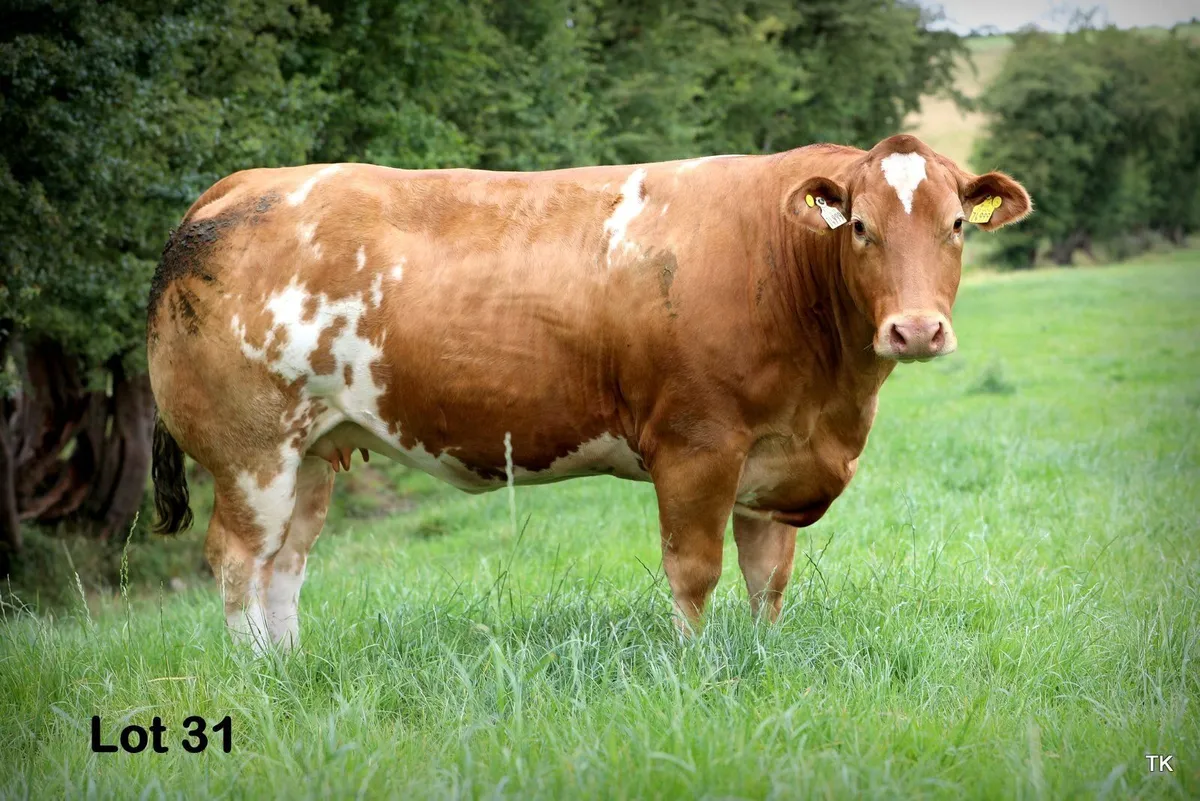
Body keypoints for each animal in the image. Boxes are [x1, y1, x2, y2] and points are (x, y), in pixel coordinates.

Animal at [147, 134, 1031, 651]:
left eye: (956, 225)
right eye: (860, 228)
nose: (915, 330)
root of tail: (241, 185)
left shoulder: (777, 459)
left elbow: (767, 576)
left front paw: (761, 658)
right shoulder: (697, 444)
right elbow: (694, 569)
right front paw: (692, 666)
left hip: (311, 451)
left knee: (286, 563)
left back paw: (289, 666)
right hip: (250, 451)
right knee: (239, 561)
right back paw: (255, 677)